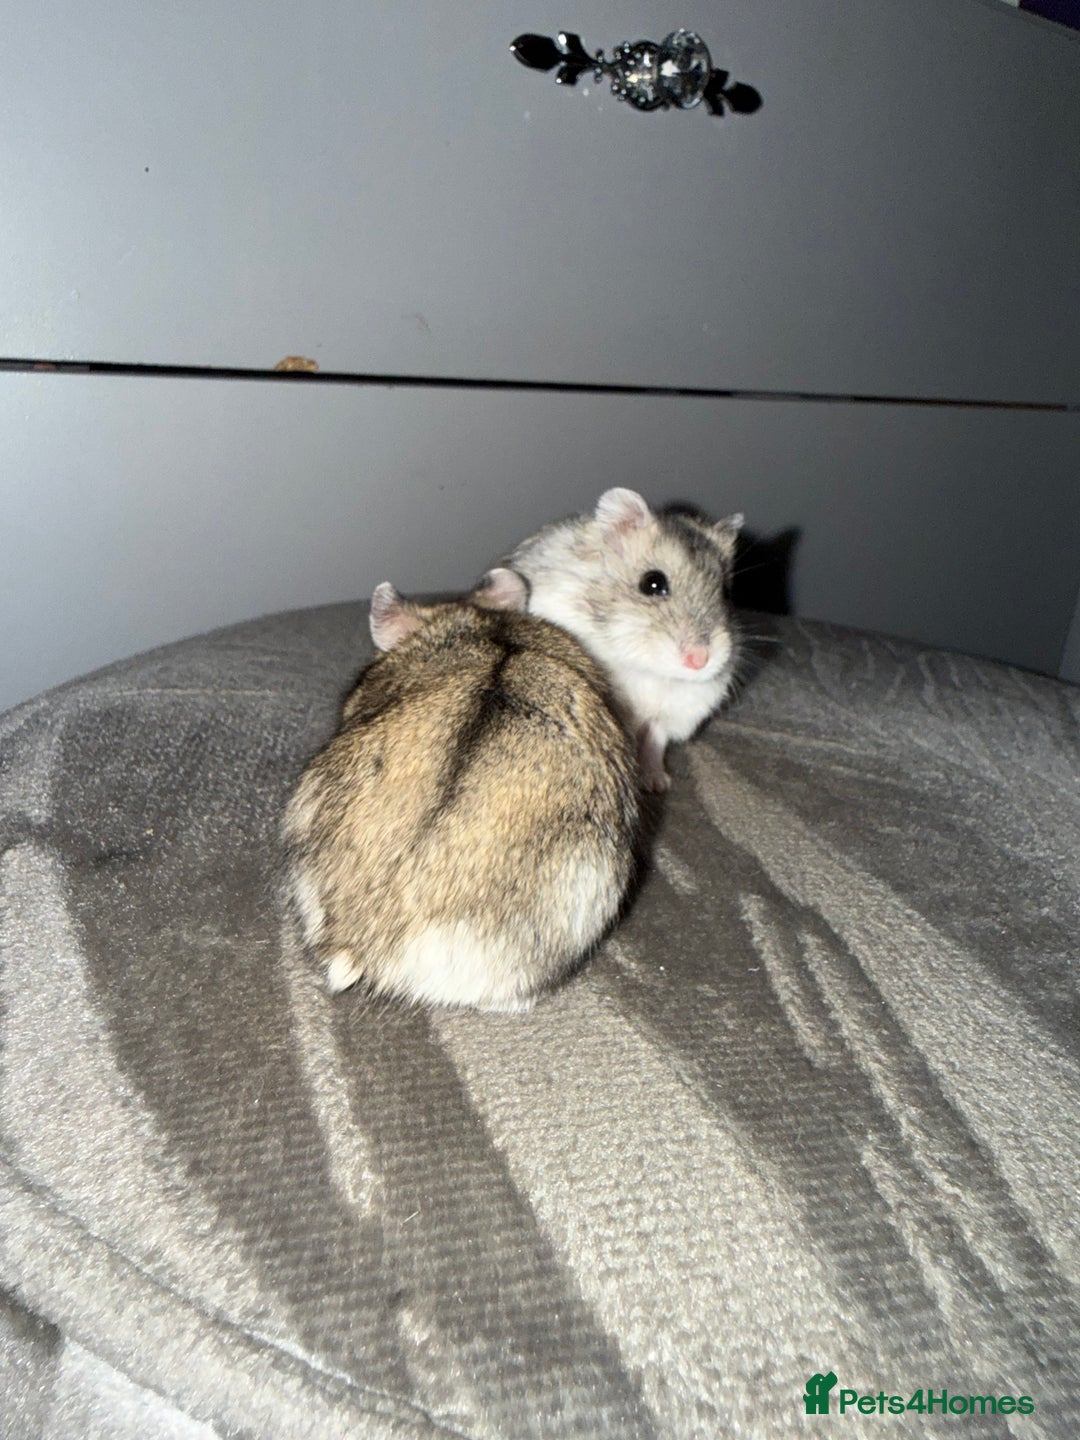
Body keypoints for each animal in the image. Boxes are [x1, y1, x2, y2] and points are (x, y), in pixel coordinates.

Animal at [501, 488, 743, 792]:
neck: (647, 668)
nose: (699, 660)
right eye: (652, 583)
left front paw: (657, 783)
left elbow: (655, 742)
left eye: (725, 592)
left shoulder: (668, 714)